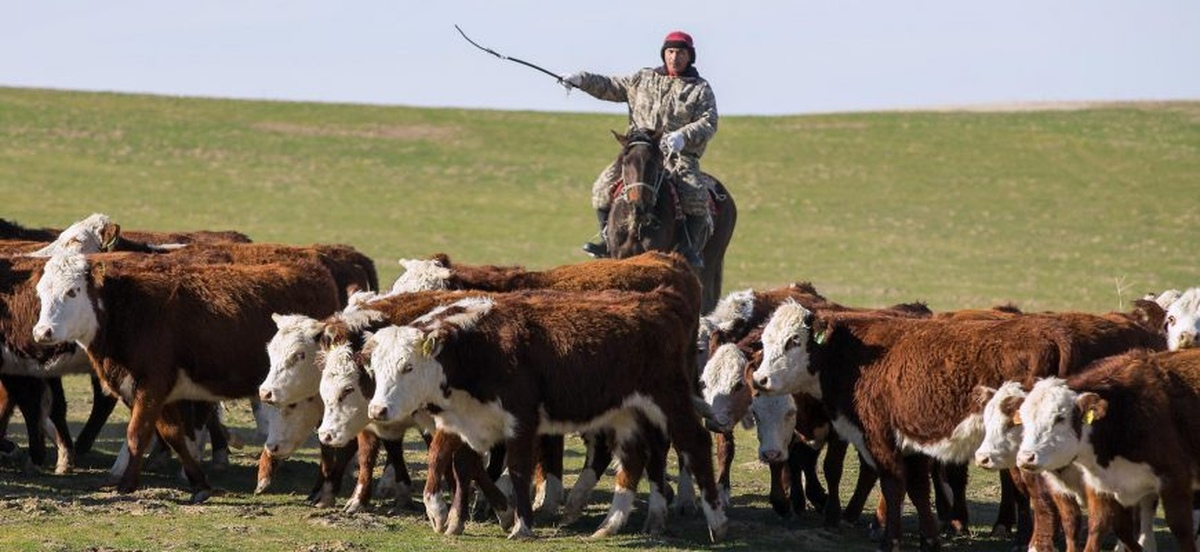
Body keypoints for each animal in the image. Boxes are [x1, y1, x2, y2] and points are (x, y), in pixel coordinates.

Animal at [360, 291, 724, 542]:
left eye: (408, 367)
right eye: (374, 367)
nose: (377, 410)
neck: (479, 346)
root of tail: (659, 301)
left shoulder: (521, 421)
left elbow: (518, 470)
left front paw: (521, 526)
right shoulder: (465, 423)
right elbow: (461, 467)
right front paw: (453, 521)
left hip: (670, 401)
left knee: (696, 444)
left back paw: (716, 521)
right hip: (625, 413)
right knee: (633, 459)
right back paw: (609, 525)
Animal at [1017, 350, 1200, 552]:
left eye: (1060, 418)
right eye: (1023, 418)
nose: (1026, 458)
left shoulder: (1175, 479)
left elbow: (1182, 529)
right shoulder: (1104, 486)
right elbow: (1106, 528)